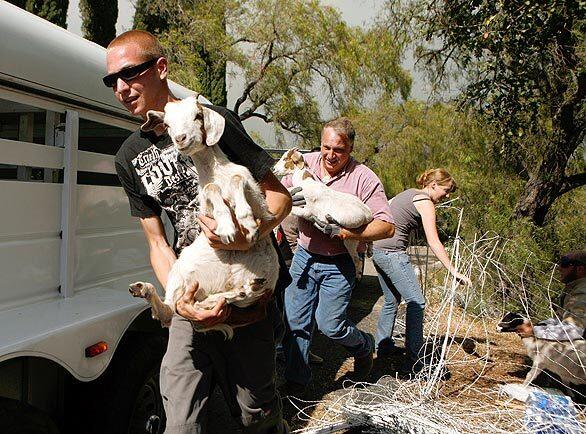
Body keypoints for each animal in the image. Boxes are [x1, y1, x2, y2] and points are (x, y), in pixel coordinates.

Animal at [129, 97, 278, 340]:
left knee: (227, 299)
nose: (181, 138)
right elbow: (210, 188)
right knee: (171, 311)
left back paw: (245, 288)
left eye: (197, 116)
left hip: (268, 278)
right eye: (167, 124)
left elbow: (238, 180)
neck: (216, 172)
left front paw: (246, 222)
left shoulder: (259, 202)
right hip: (180, 273)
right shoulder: (205, 208)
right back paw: (143, 289)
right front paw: (227, 227)